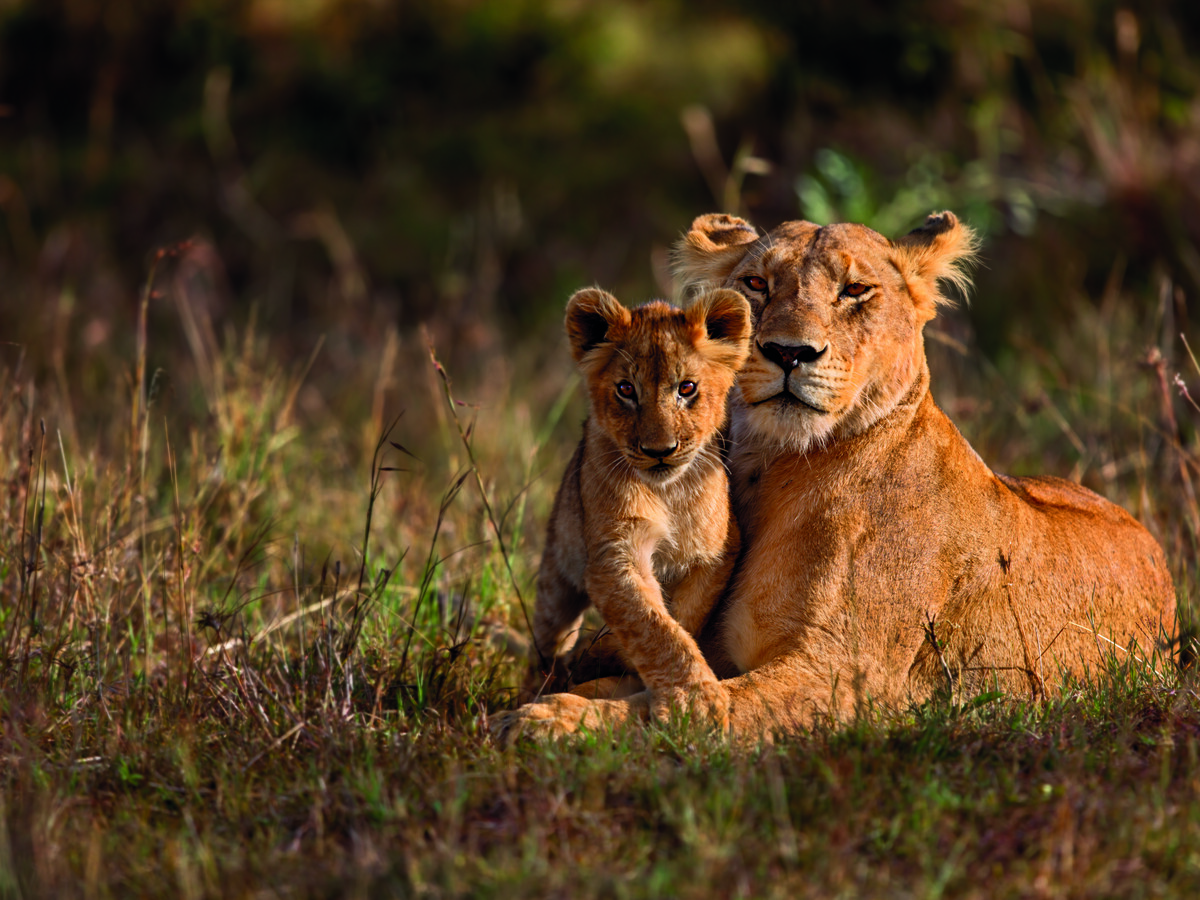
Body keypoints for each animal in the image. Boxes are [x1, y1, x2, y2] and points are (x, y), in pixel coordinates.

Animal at [500, 286, 751, 733]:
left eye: (687, 388)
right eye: (626, 390)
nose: (659, 450)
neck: (668, 492)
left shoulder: (717, 552)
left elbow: (681, 618)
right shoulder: (613, 554)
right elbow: (652, 625)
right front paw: (695, 702)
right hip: (556, 576)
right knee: (547, 641)